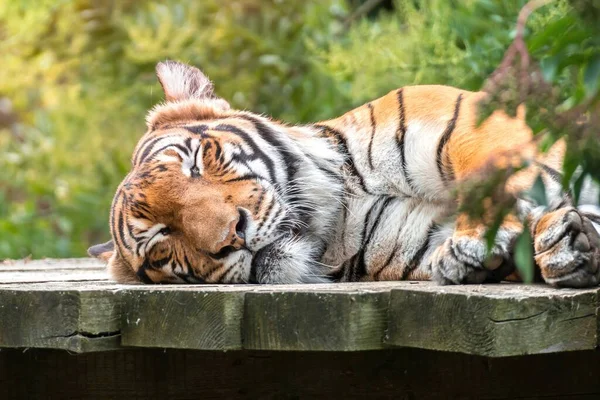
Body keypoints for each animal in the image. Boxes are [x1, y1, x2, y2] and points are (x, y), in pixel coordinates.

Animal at [88, 60, 600, 288]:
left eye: (195, 161)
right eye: (161, 240)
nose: (233, 236)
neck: (342, 205)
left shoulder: (475, 124)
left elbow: (489, 176)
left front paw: (481, 241)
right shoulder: (419, 236)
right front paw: (566, 246)